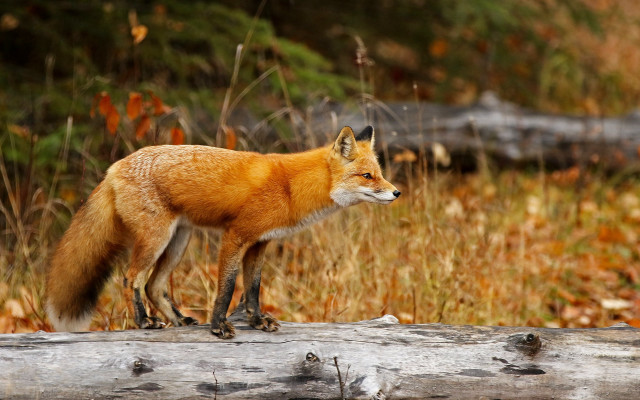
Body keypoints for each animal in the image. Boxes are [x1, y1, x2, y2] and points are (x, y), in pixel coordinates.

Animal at [45, 126, 400, 338]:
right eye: (367, 176)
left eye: (379, 174)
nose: (396, 193)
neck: (290, 187)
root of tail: (114, 167)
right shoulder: (235, 236)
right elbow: (227, 288)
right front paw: (219, 325)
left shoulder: (260, 243)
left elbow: (253, 289)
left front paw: (257, 321)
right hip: (156, 239)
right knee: (131, 278)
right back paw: (144, 321)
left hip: (178, 241)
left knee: (154, 285)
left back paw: (179, 320)